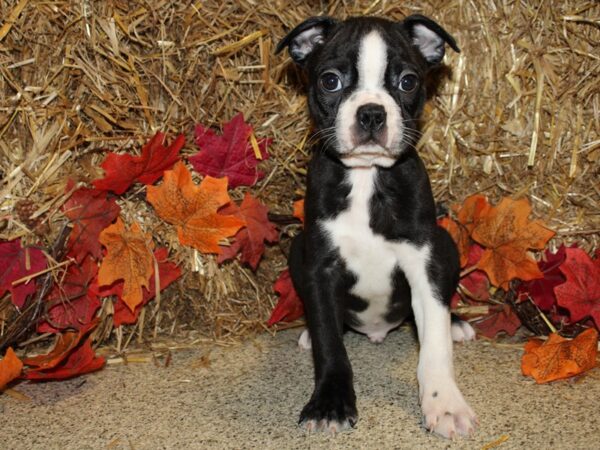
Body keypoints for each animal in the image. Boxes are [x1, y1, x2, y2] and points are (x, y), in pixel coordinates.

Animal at [276, 14, 478, 440]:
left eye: (408, 81)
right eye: (330, 80)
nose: (371, 112)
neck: (368, 177)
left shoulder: (424, 263)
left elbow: (434, 346)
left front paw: (446, 405)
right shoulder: (320, 267)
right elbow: (330, 344)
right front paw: (330, 404)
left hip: (446, 244)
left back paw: (457, 323)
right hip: (297, 249)